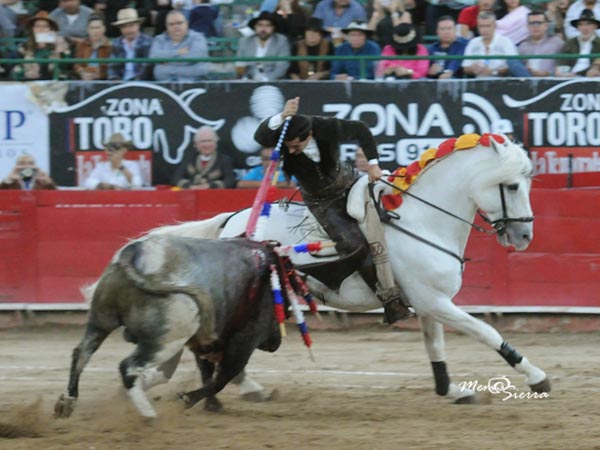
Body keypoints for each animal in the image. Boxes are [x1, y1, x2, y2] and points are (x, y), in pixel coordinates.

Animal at [54, 235, 286, 419]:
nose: (275, 342)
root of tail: (139, 251)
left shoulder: (205, 343)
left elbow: (207, 371)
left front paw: (212, 405)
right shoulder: (245, 340)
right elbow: (222, 376)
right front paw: (190, 399)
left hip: (101, 320)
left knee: (82, 353)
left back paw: (67, 402)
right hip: (166, 340)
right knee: (128, 366)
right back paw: (148, 414)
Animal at [143, 134, 551, 404]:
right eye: (511, 186)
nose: (525, 235)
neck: (423, 218)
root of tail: (230, 223)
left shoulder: (430, 303)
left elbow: (435, 345)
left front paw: (449, 389)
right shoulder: (436, 302)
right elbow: (486, 331)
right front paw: (537, 377)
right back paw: (217, 393)